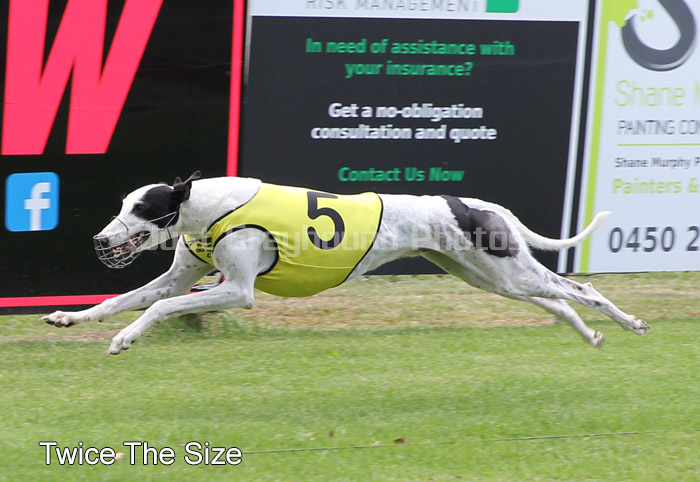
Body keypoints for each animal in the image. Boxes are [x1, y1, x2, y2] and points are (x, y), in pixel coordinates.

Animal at [43, 172, 649, 355]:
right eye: (121, 207)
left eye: (141, 210)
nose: (100, 239)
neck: (208, 204)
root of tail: (480, 204)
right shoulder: (178, 277)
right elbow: (123, 299)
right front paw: (70, 317)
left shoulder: (238, 289)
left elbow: (159, 309)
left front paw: (125, 339)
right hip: (494, 278)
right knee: (557, 301)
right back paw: (590, 335)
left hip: (506, 270)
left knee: (580, 290)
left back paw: (628, 322)